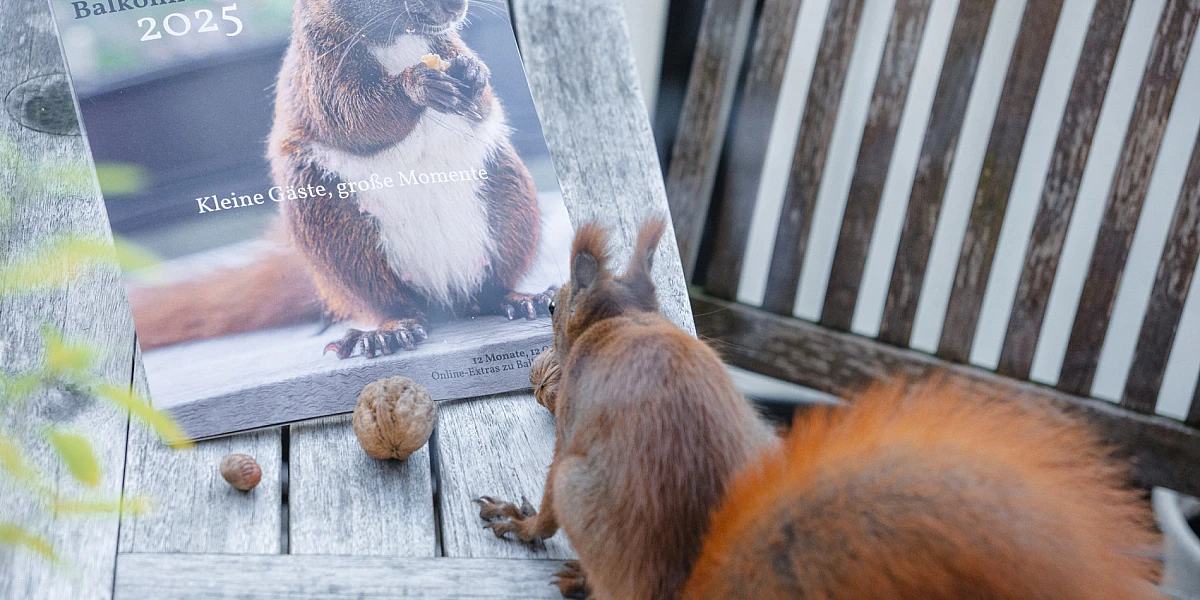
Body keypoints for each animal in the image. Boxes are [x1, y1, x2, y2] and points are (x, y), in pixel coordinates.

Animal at [125, 0, 549, 355]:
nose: (455, 7)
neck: (397, 37)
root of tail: (445, 290)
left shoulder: (447, 45)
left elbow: (482, 103)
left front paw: (473, 72)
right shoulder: (320, 73)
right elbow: (354, 116)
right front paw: (415, 85)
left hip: (509, 199)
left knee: (489, 289)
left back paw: (517, 299)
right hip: (336, 233)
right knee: (388, 301)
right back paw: (390, 330)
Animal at [475, 218, 1161, 600]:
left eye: (555, 308)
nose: (546, 306)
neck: (622, 326)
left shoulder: (570, 431)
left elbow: (547, 504)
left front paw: (521, 520)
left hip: (586, 489)